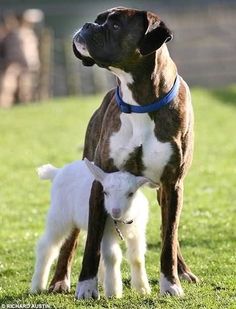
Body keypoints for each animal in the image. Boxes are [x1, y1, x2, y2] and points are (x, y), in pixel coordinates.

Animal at [30, 158, 150, 298]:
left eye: (131, 194)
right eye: (105, 192)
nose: (115, 211)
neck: (123, 220)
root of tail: (57, 172)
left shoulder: (138, 233)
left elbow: (137, 257)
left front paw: (142, 288)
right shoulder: (106, 233)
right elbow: (113, 257)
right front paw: (114, 292)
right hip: (59, 217)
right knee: (46, 247)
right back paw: (37, 286)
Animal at [48, 6, 198, 298]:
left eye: (116, 25)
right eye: (99, 19)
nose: (87, 25)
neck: (140, 102)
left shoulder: (172, 184)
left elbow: (169, 237)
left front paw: (170, 283)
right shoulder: (101, 183)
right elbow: (92, 242)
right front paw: (86, 287)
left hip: (165, 193)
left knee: (170, 233)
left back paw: (183, 271)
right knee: (71, 239)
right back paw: (59, 280)